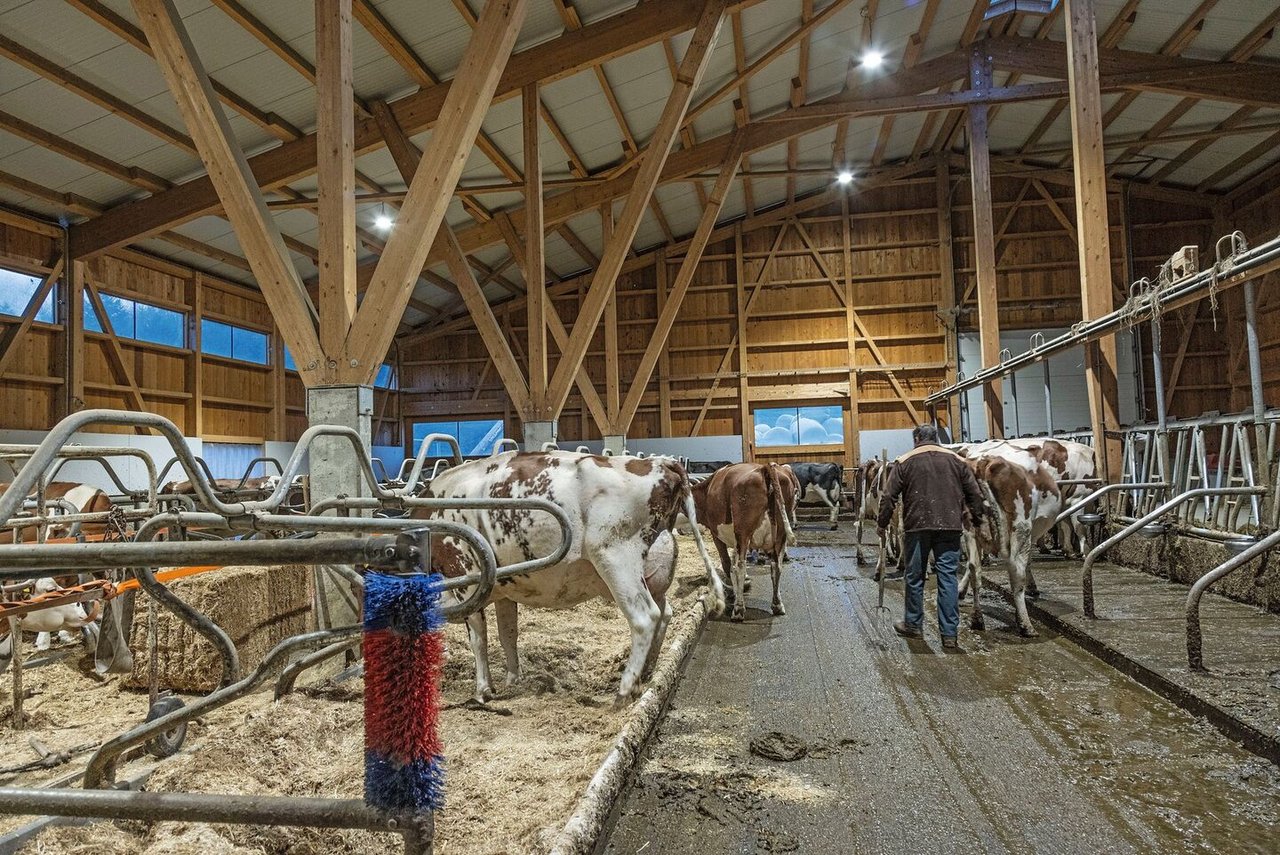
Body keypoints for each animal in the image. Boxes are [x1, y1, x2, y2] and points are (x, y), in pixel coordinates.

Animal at [414, 450, 727, 706]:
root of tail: (659, 462)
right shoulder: (504, 588)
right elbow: (508, 634)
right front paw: (513, 679)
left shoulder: (465, 575)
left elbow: (479, 639)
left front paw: (482, 690)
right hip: (652, 574)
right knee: (664, 612)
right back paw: (646, 672)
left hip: (614, 557)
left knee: (645, 617)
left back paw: (624, 689)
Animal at [691, 463, 788, 624]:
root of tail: (764, 468)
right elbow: (732, 566)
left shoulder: (717, 534)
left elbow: (727, 564)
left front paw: (733, 593)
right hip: (781, 535)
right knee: (776, 566)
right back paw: (777, 605)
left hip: (743, 531)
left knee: (741, 566)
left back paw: (738, 611)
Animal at [962, 458, 1059, 637]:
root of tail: (986, 463)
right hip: (1020, 528)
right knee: (1016, 573)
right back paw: (1025, 625)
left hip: (970, 531)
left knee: (974, 568)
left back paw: (977, 619)